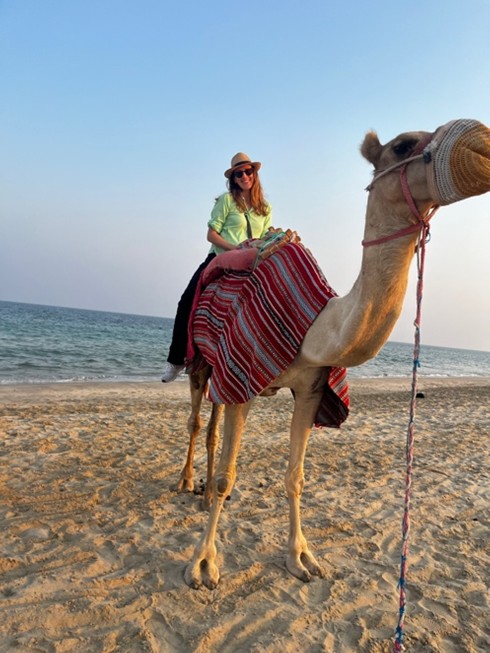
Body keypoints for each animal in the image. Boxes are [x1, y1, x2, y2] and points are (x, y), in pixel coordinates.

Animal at [178, 119, 490, 590]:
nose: (481, 140)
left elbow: (295, 477)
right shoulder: (245, 376)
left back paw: (204, 494)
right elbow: (230, 473)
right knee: (197, 420)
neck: (315, 329)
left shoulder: (311, 387)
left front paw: (302, 557)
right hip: (200, 362)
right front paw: (202, 563)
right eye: (403, 146)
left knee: (213, 425)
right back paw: (187, 483)